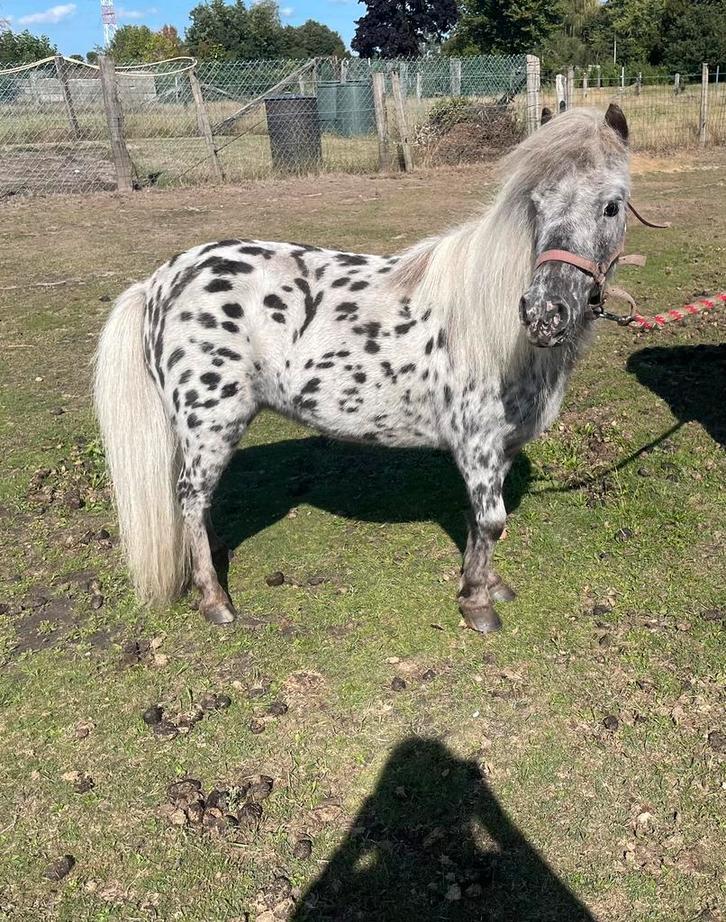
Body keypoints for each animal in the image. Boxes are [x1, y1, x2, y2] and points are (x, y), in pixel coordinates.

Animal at [94, 103, 631, 634]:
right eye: (536, 205)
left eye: (612, 206)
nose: (545, 313)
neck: (490, 326)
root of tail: (160, 283)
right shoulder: (476, 445)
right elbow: (491, 520)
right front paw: (477, 603)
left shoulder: (503, 446)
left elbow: (484, 525)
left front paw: (488, 583)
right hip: (211, 423)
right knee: (190, 497)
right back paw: (214, 599)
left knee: (200, 502)